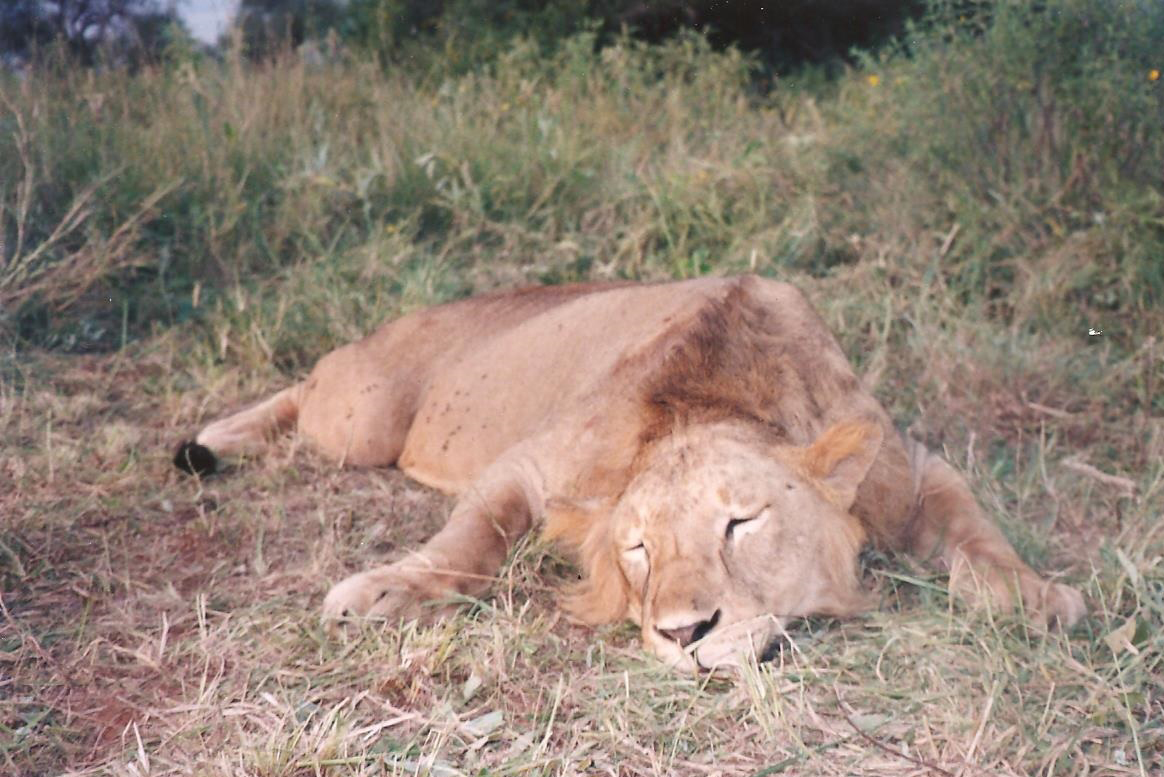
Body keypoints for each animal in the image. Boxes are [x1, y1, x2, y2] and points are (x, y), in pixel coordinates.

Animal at [176, 275, 1084, 669]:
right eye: (638, 549)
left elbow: (977, 530)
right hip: (359, 417)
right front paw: (386, 590)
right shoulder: (530, 463)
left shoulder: (910, 465)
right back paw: (211, 441)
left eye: (741, 522)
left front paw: (1034, 596)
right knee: (305, 385)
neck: (713, 396)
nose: (684, 635)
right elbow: (469, 537)